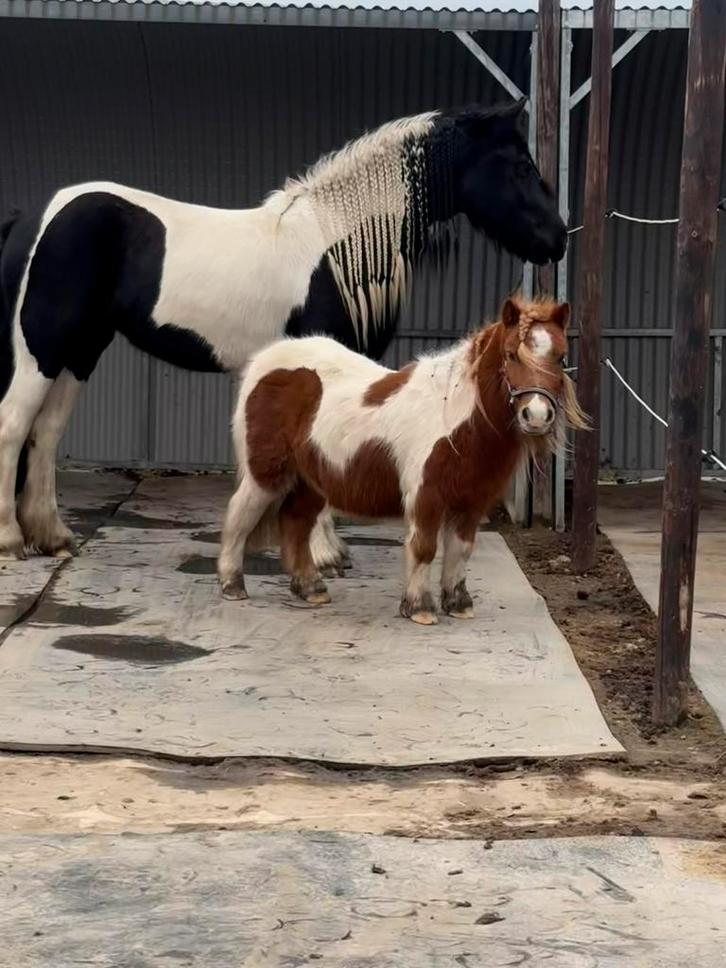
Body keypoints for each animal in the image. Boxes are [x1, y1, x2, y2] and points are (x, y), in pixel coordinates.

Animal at [0, 100, 567, 566]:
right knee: (14, 423)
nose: (558, 238)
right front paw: (322, 554)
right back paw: (12, 539)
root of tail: (33, 217)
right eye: (521, 166)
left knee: (47, 431)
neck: (337, 246)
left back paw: (54, 536)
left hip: (81, 349)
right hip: (42, 346)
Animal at [217, 295, 587, 624]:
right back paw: (232, 585)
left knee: (295, 523)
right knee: (239, 517)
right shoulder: (425, 497)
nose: (536, 416)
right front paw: (420, 608)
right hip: (266, 475)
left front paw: (459, 605)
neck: (454, 415)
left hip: (311, 482)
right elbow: (424, 548)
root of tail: (264, 363)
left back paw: (311, 589)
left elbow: (461, 550)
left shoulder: (471, 503)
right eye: (511, 355)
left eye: (561, 357)